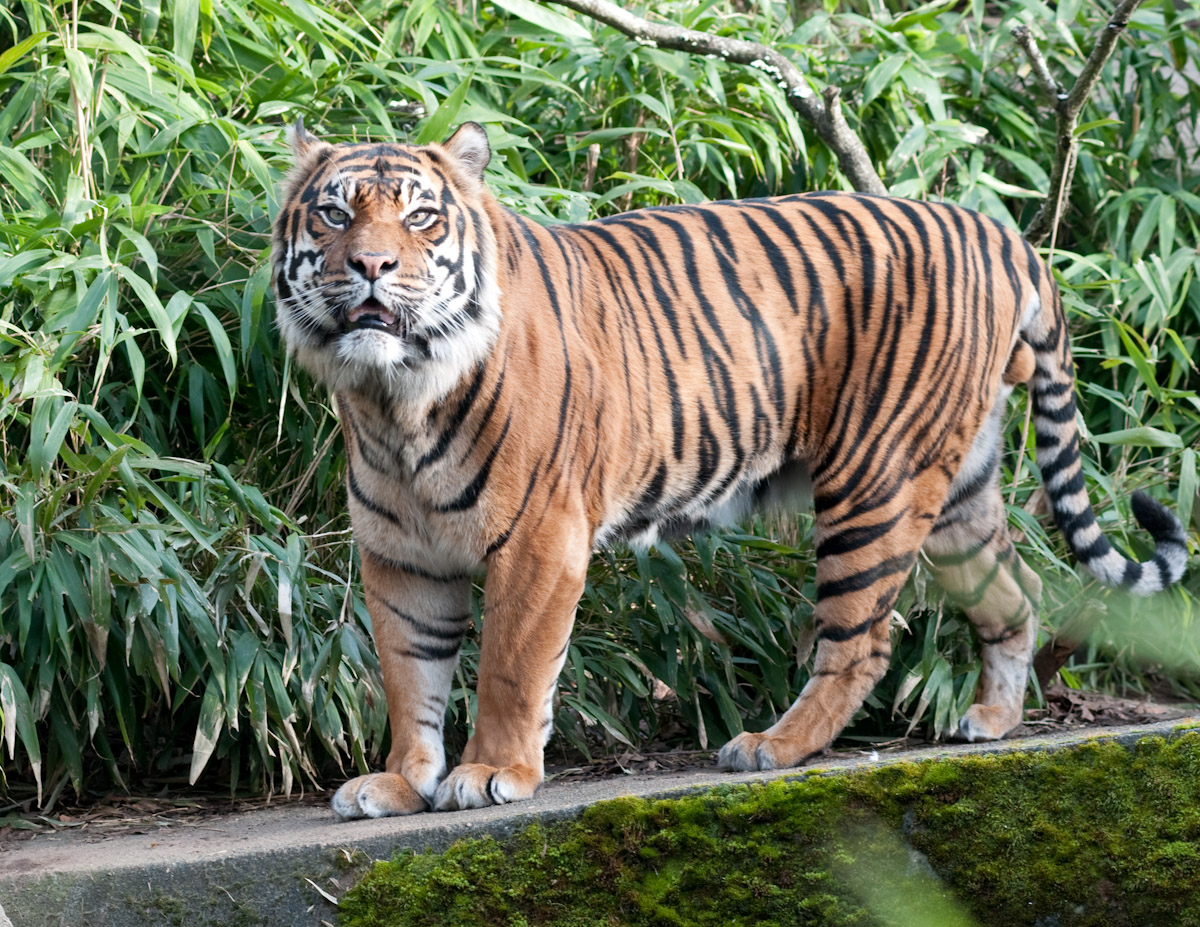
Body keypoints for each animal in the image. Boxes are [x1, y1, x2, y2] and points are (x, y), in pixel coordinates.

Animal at [271, 121, 1188, 817]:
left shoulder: (539, 539)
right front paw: (400, 780)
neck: (394, 397)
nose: (372, 266)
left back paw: (771, 746)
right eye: (334, 214)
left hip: (875, 483)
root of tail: (996, 230)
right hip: (958, 488)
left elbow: (509, 667)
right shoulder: (401, 554)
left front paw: (493, 771)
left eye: (422, 218)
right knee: (1017, 591)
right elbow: (408, 674)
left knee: (863, 639)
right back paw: (991, 720)